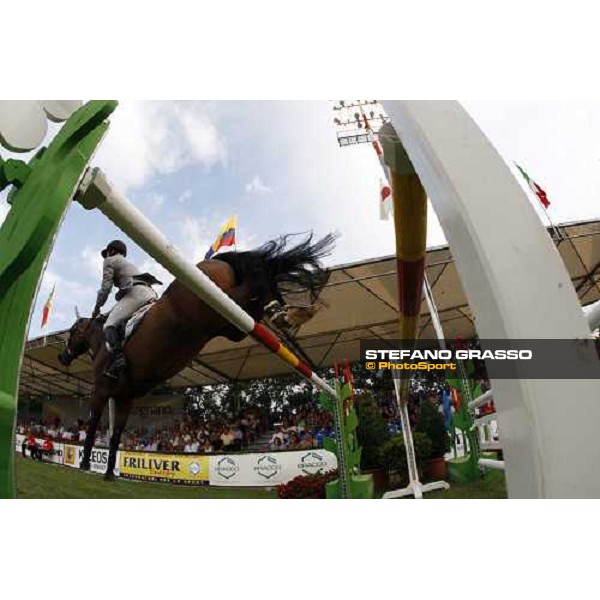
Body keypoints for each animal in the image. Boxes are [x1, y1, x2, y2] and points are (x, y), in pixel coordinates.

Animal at [58, 232, 336, 480]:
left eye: (71, 333)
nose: (62, 357)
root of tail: (215, 262)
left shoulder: (100, 391)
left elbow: (93, 425)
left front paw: (84, 462)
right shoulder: (125, 399)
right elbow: (115, 436)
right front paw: (107, 473)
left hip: (214, 303)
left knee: (251, 287)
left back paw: (289, 312)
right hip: (231, 327)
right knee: (256, 301)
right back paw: (289, 314)